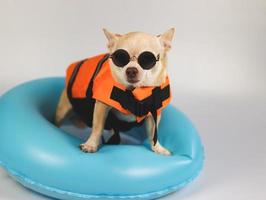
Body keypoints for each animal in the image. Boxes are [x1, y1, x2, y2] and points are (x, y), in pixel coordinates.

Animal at [54, 28, 175, 156]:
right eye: (120, 58)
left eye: (148, 59)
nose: (131, 70)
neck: (133, 90)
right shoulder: (101, 107)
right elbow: (97, 128)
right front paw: (91, 144)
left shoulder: (154, 115)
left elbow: (153, 134)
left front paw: (158, 148)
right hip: (62, 109)